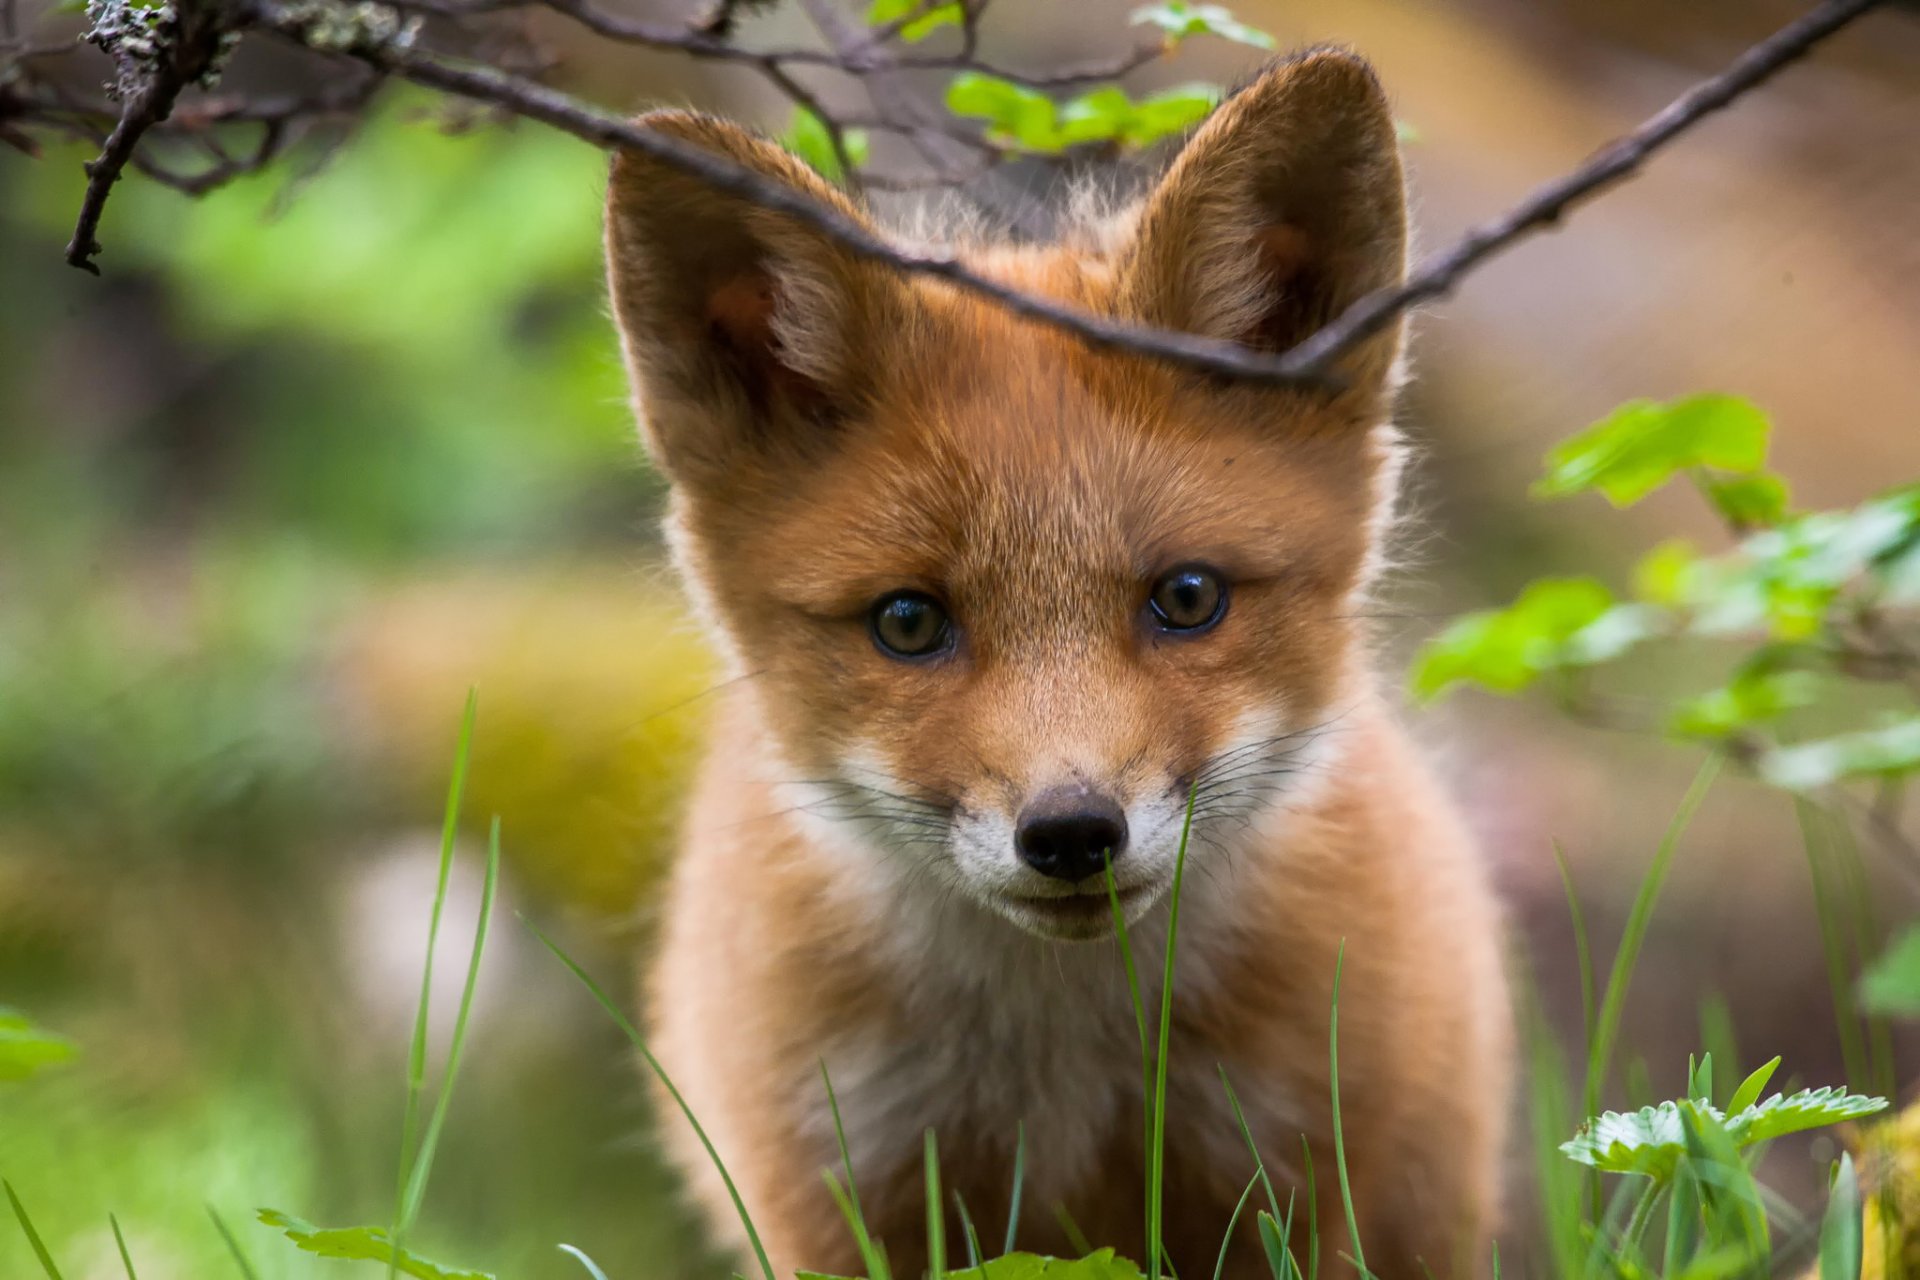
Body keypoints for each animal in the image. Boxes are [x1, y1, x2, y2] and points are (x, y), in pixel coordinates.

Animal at [603, 47, 1512, 1280]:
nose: (1073, 833)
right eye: (907, 622)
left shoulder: (1308, 1184)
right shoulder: (838, 1197)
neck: (1064, 1060)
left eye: (1187, 598)